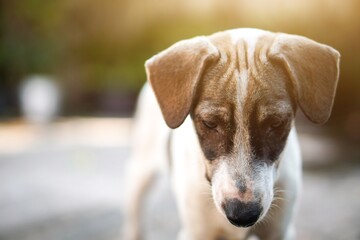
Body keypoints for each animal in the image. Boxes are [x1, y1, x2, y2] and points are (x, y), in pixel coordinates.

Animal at [122, 28, 338, 240]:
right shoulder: (197, 231)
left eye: (276, 123)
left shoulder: (280, 231)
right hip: (141, 170)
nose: (243, 215)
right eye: (210, 123)